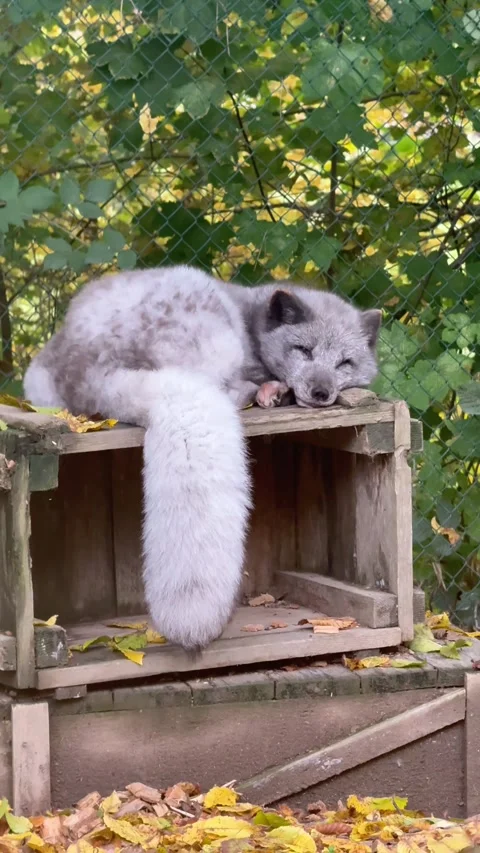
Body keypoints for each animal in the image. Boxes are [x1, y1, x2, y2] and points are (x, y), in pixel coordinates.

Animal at [24, 265, 381, 650]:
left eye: (345, 362)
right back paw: (266, 392)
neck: (253, 319)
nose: (321, 392)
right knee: (222, 387)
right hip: (207, 320)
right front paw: (275, 387)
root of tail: (84, 371)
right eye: (303, 350)